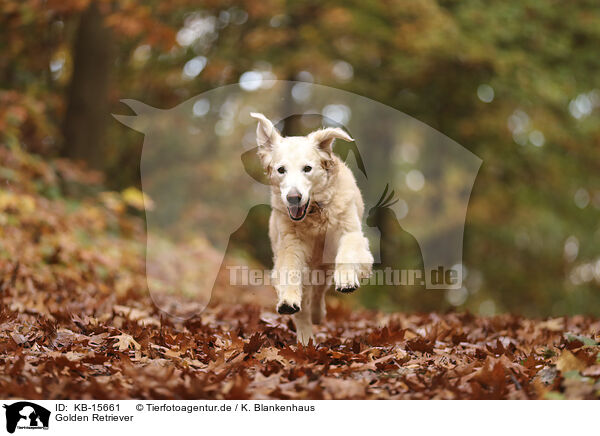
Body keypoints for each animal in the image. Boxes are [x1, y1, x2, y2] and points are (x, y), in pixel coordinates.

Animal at [250, 112, 372, 344]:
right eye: (281, 170)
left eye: (307, 168)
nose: (293, 198)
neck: (315, 213)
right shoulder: (290, 246)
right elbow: (289, 272)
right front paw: (288, 300)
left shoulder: (350, 233)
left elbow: (347, 253)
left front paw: (346, 280)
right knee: (306, 305)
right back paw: (305, 338)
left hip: (324, 266)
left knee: (318, 293)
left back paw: (318, 314)